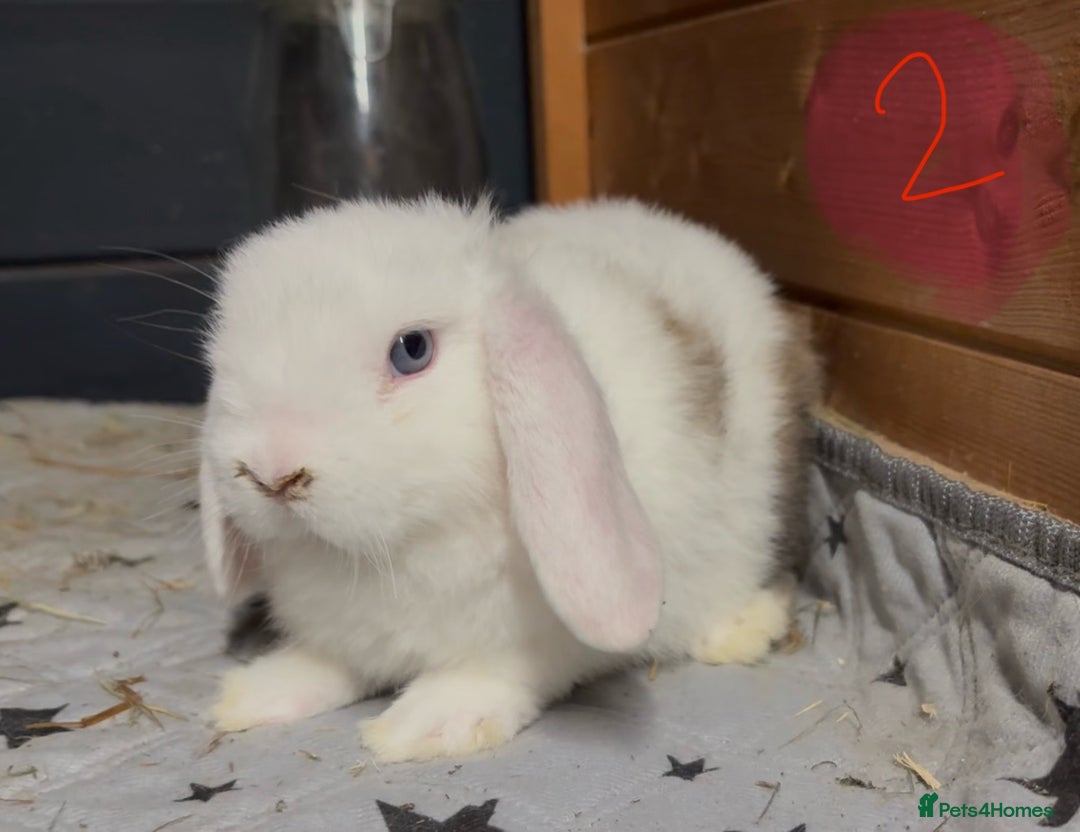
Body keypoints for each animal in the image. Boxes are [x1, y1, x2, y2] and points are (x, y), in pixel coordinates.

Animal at [198, 194, 823, 763]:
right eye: (223, 362)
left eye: (412, 350)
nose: (272, 474)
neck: (392, 551)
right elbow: (327, 663)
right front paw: (254, 692)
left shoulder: (539, 643)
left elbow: (497, 672)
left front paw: (429, 724)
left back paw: (741, 630)